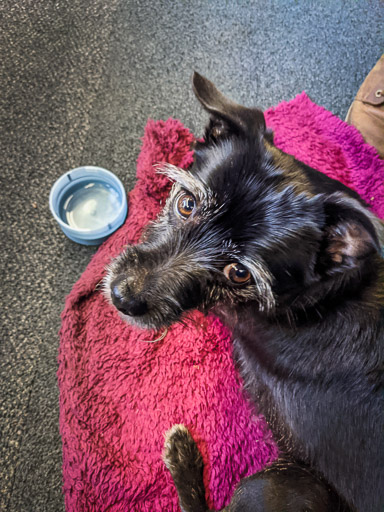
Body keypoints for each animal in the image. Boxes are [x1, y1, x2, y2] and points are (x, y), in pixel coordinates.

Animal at [104, 74, 384, 512]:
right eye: (187, 204)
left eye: (238, 273)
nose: (121, 297)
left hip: (276, 483)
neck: (325, 294)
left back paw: (182, 458)